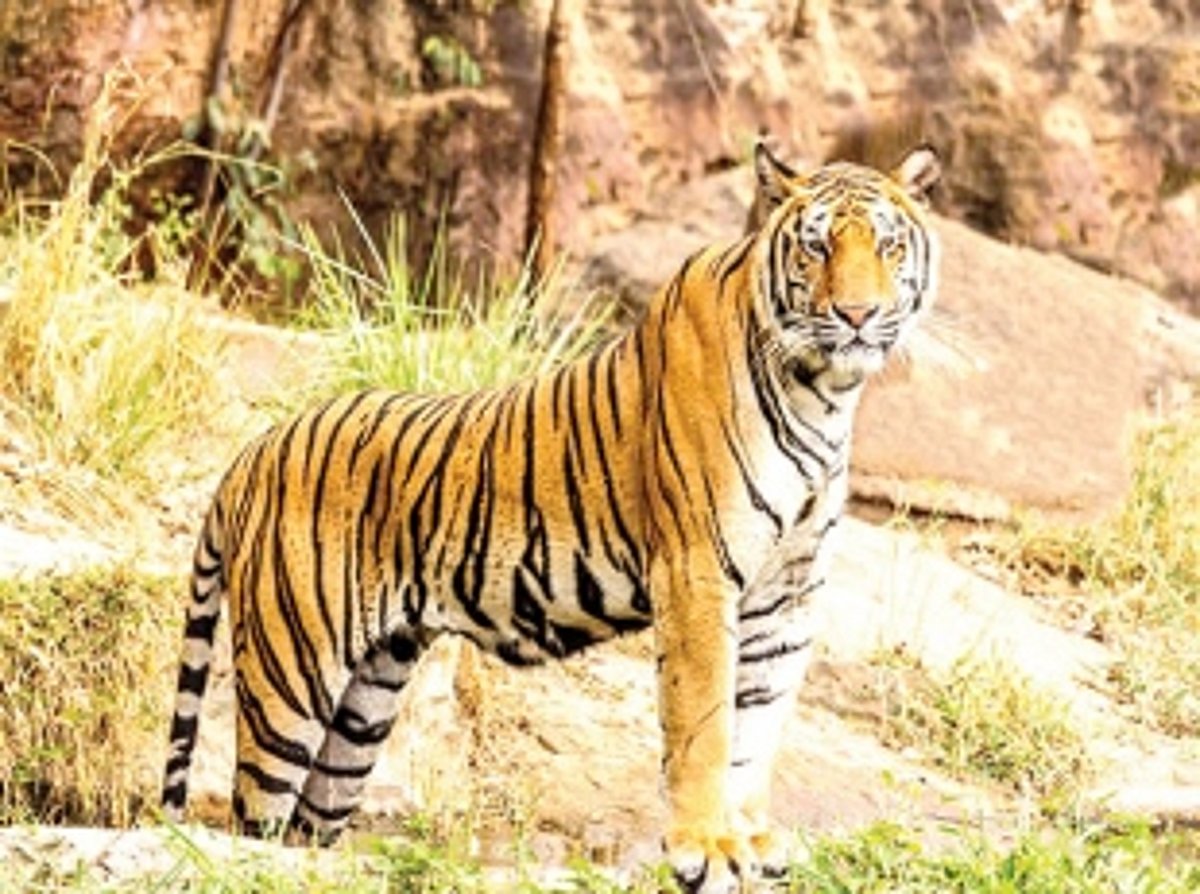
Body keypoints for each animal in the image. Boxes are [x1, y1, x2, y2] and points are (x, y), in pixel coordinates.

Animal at [161, 142, 941, 893]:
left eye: (888, 245)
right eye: (816, 247)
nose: (858, 316)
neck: (824, 393)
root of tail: (251, 452)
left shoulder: (788, 593)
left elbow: (758, 728)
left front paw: (749, 843)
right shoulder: (697, 574)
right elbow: (707, 724)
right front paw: (705, 852)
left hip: (365, 702)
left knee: (306, 827)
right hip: (290, 678)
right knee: (253, 820)